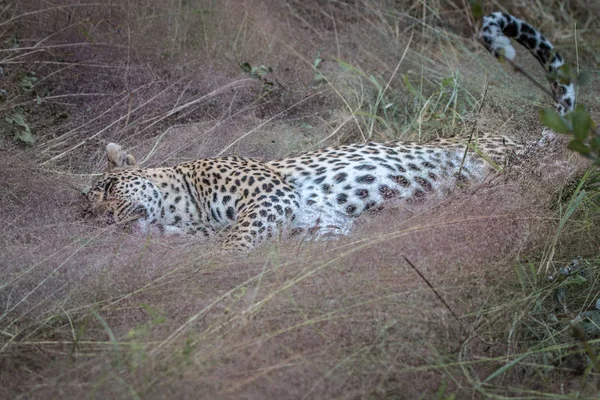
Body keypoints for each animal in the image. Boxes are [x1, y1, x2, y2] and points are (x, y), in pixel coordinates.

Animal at [85, 11, 576, 250]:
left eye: (107, 190)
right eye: (87, 216)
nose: (103, 221)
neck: (187, 209)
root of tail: (527, 141)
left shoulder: (269, 194)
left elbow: (235, 240)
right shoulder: (323, 226)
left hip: (512, 160)